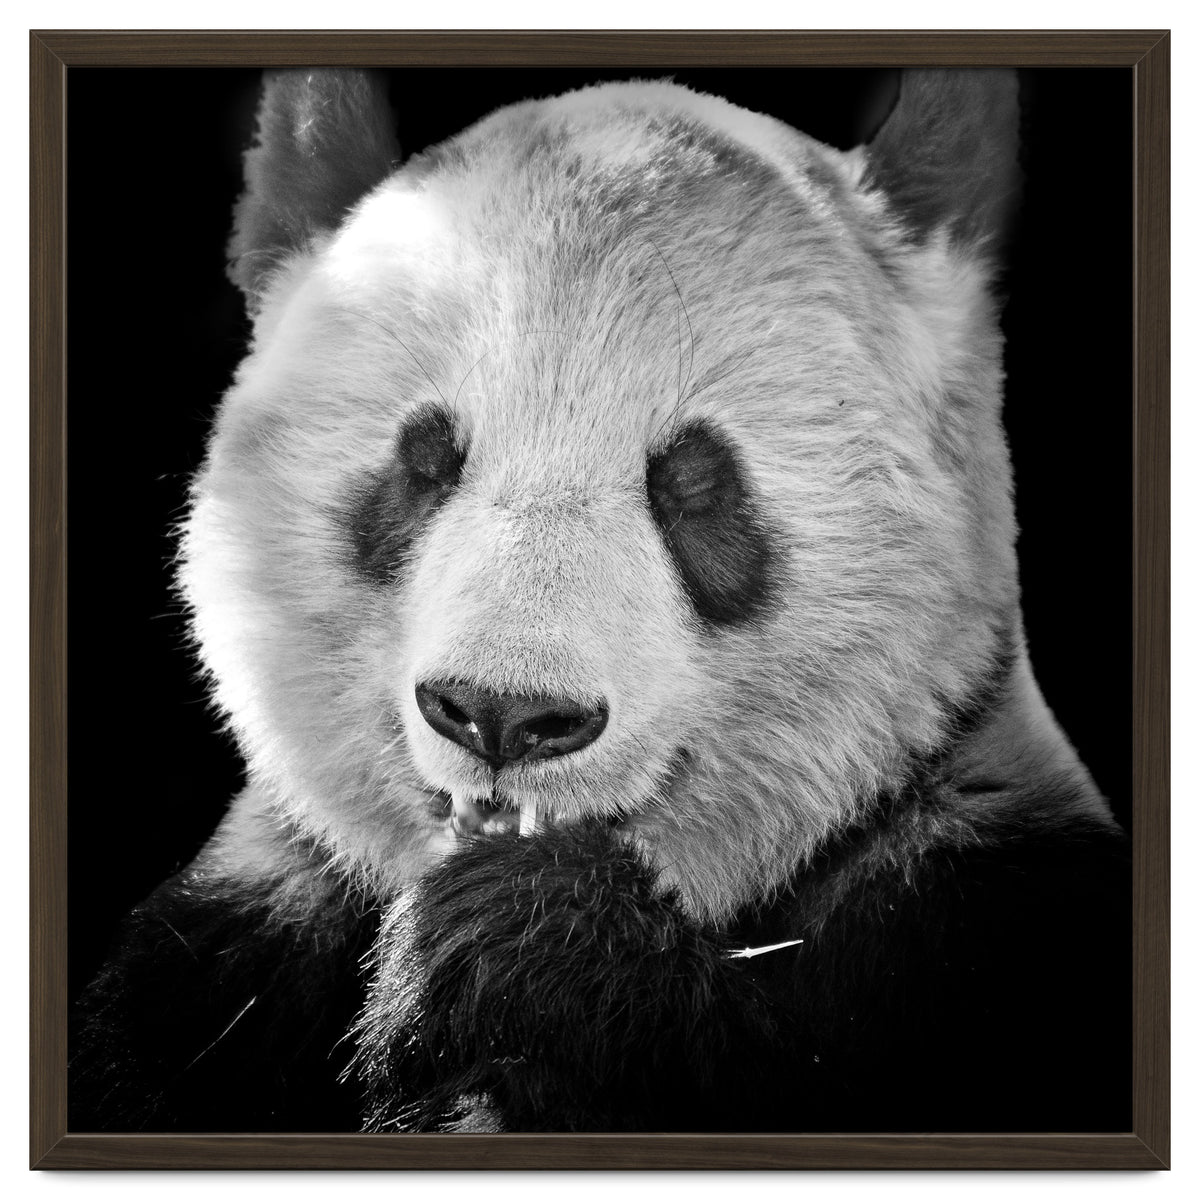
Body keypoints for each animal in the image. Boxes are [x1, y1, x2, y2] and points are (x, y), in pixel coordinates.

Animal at [70, 68, 1131, 1134]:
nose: (503, 714)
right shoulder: (225, 956)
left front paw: (524, 947)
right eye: (425, 460)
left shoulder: (977, 913)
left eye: (694, 484)